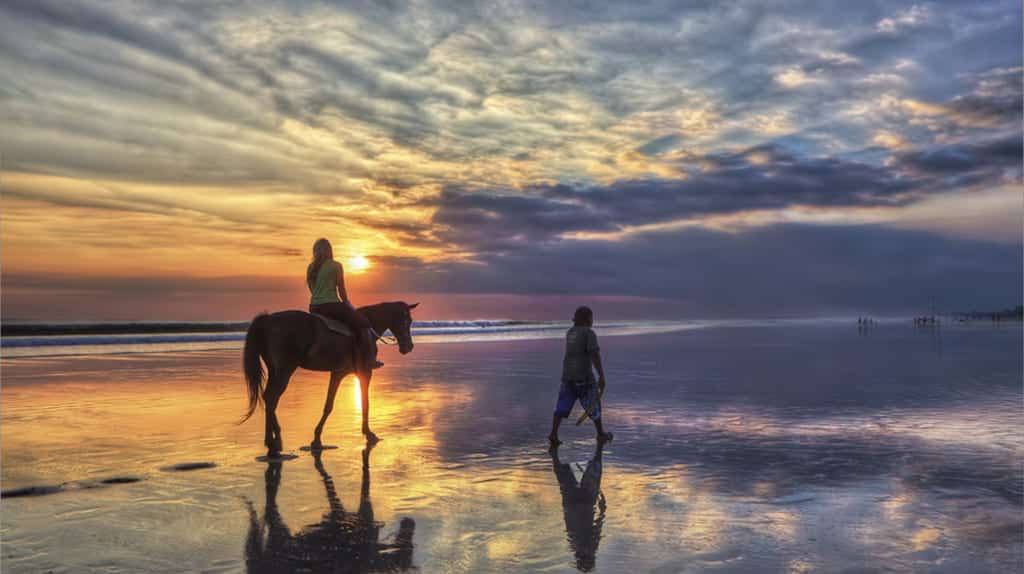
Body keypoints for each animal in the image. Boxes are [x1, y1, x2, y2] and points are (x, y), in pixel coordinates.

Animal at [241, 300, 417, 456]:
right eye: (407, 321)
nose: (409, 347)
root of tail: (267, 320)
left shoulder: (338, 373)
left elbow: (328, 405)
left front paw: (317, 439)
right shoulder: (365, 372)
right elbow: (365, 403)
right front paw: (368, 433)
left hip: (275, 370)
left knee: (269, 399)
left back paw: (272, 443)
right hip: (284, 370)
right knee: (272, 398)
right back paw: (274, 442)